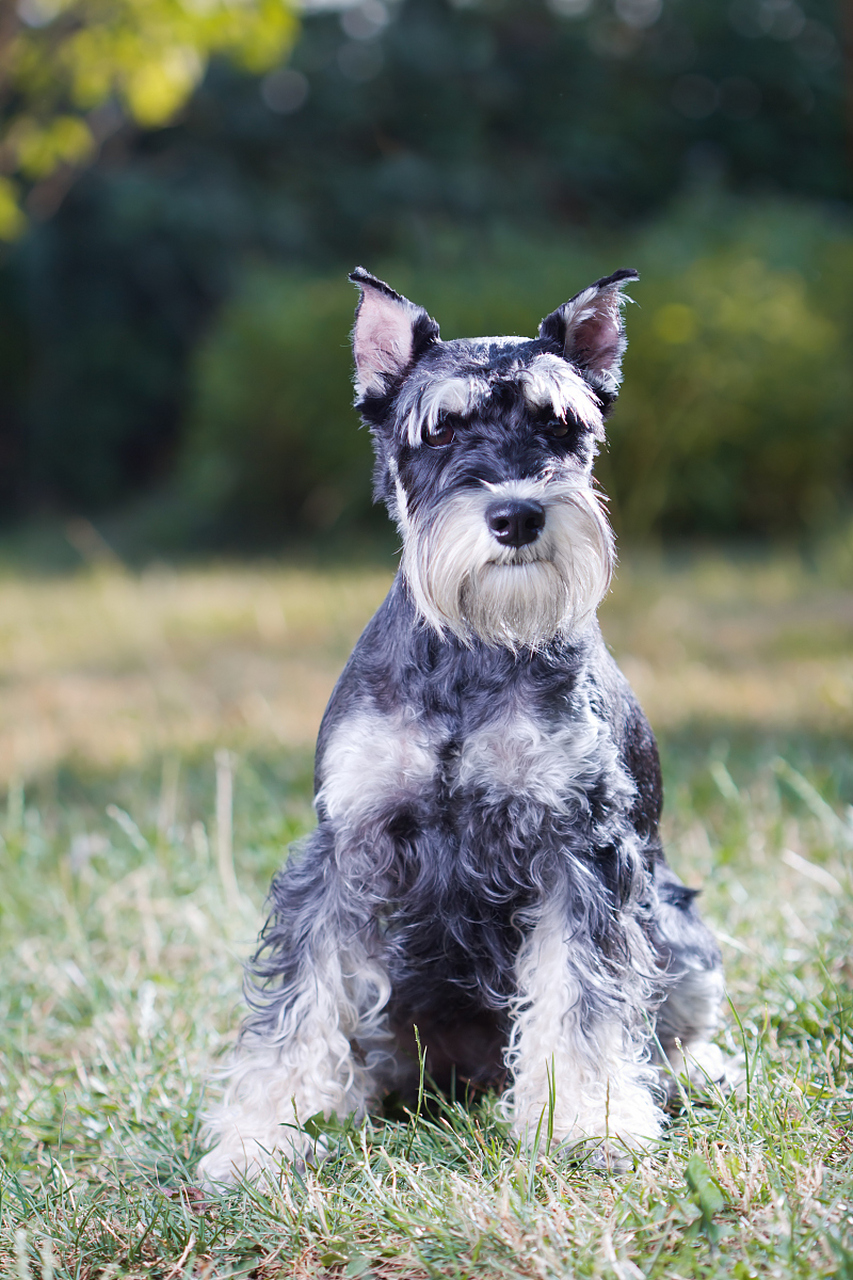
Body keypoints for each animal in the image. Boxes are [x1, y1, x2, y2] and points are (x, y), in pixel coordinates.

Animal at [197, 270, 722, 1187]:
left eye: (561, 425)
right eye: (440, 427)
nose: (516, 515)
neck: (476, 647)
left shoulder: (581, 848)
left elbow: (582, 1001)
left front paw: (589, 1123)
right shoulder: (344, 849)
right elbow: (298, 1005)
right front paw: (259, 1139)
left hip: (678, 927)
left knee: (672, 1016)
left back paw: (687, 1074)